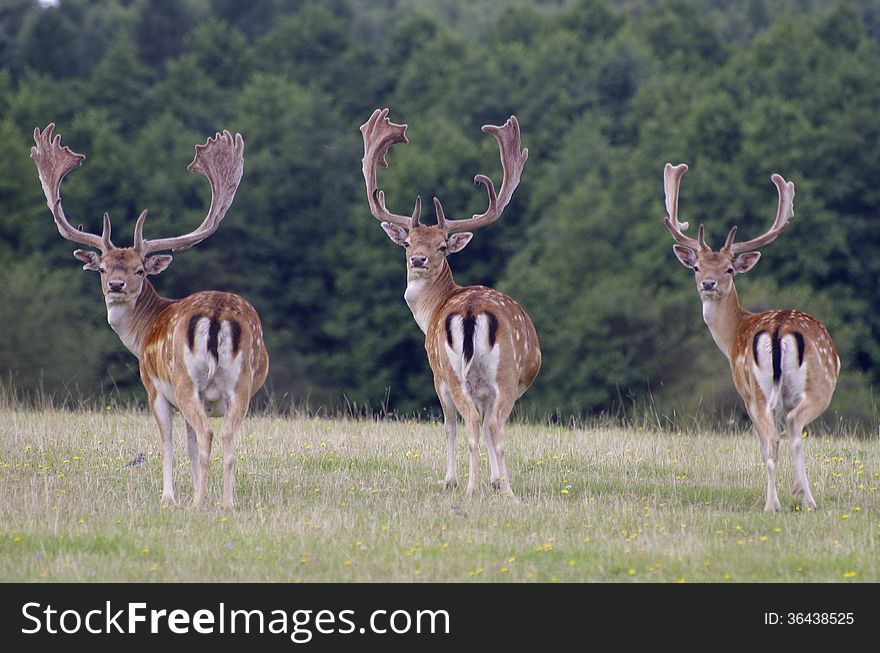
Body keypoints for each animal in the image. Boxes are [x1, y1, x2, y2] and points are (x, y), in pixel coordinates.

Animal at [31, 123, 268, 510]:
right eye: (103, 268)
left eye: (140, 270)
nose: (116, 285)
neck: (140, 335)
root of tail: (217, 314)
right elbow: (188, 446)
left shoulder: (154, 388)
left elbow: (169, 444)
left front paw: (169, 497)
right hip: (241, 385)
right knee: (229, 438)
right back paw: (226, 503)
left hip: (186, 380)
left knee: (208, 434)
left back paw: (197, 503)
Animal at [360, 108, 540, 494]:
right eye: (408, 242)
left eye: (443, 245)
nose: (418, 260)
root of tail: (471, 312)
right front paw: (492, 480)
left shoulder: (436, 375)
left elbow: (449, 426)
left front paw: (451, 480)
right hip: (495, 376)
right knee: (490, 425)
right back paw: (500, 489)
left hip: (462, 372)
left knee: (473, 421)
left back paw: (475, 488)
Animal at [664, 162, 844, 510]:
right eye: (696, 267)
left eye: (729, 269)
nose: (708, 283)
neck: (734, 332)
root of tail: (779, 328)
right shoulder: (747, 392)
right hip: (808, 385)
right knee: (787, 430)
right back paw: (800, 498)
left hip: (764, 390)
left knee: (776, 437)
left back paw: (778, 501)